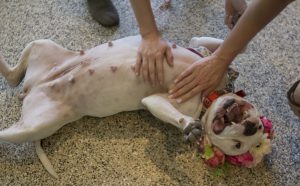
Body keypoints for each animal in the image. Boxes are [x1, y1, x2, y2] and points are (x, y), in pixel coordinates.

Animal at [0, 36, 262, 177]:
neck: (211, 94)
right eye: (258, 123)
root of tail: (32, 88)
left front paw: (189, 127)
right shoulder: (202, 47)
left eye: (238, 146)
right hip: (43, 46)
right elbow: (222, 45)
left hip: (40, 122)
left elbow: (169, 111)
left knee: (9, 111)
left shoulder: (160, 102)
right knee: (13, 76)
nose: (250, 127)